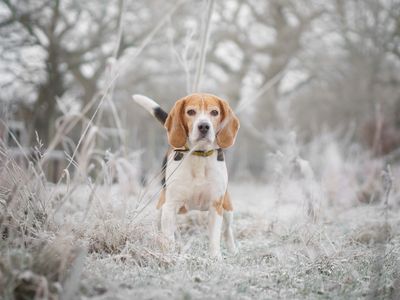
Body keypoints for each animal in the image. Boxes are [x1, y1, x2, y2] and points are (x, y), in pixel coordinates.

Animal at [134, 93, 241, 258]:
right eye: (190, 112)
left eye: (214, 112)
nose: (204, 126)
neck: (199, 155)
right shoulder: (170, 206)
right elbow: (168, 238)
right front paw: (169, 257)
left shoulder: (215, 206)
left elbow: (214, 238)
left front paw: (215, 258)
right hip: (160, 210)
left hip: (227, 207)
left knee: (227, 230)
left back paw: (232, 250)